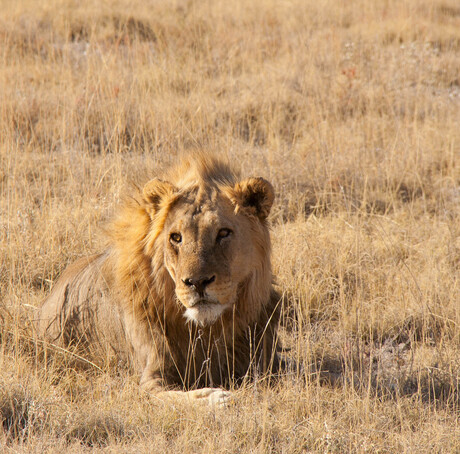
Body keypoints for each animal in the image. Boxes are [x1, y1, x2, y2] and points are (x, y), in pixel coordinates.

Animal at [36, 154, 280, 402]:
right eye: (176, 237)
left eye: (223, 233)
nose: (197, 283)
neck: (205, 330)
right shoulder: (149, 379)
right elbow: (179, 397)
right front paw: (217, 398)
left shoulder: (265, 361)